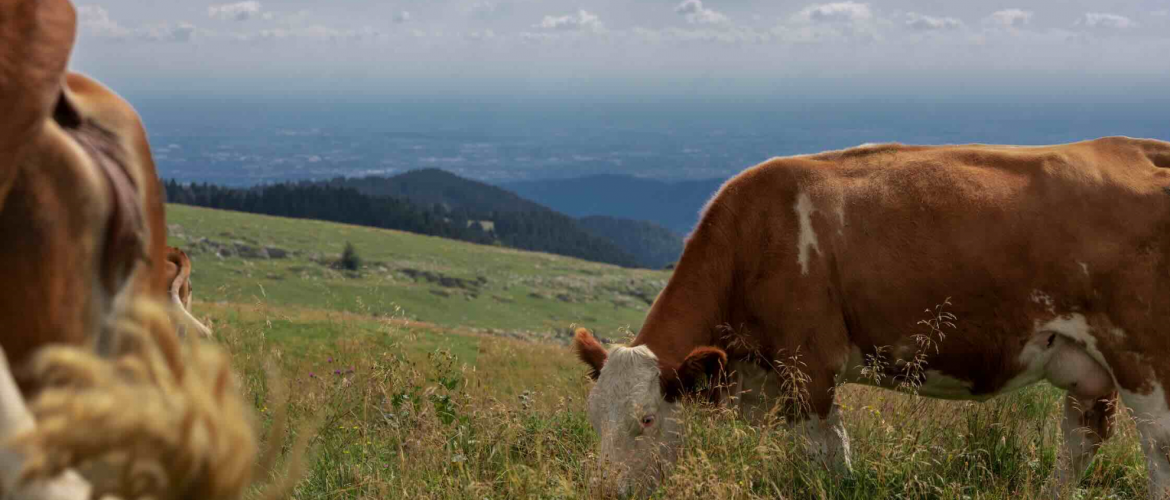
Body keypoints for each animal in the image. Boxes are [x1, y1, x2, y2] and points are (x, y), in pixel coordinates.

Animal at [572, 136, 1170, 498]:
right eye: (594, 418)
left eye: (647, 420)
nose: (603, 492)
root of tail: (1142, 149)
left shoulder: (807, 367)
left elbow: (828, 455)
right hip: (1086, 365)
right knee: (1082, 438)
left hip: (1141, 352)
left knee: (1158, 446)